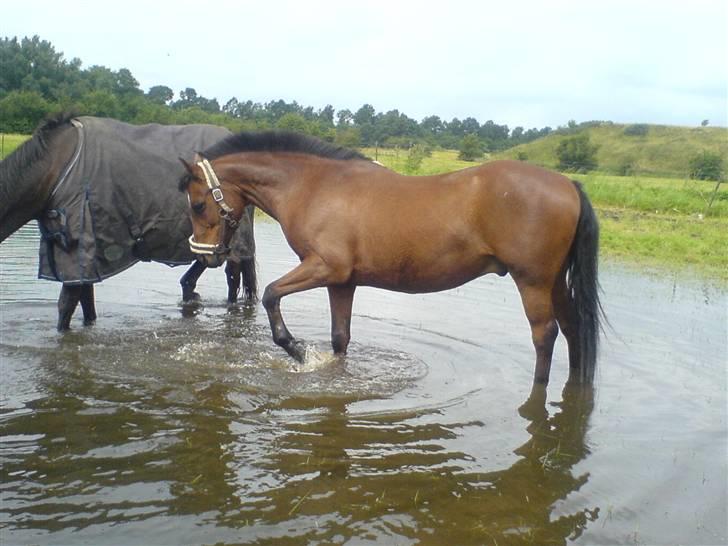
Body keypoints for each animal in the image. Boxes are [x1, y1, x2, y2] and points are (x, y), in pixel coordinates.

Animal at [0, 112, 256, 330]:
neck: (56, 170)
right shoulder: (85, 257)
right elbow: (86, 304)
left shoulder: (79, 251)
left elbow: (66, 307)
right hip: (209, 245)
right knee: (193, 279)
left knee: (232, 278)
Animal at [181, 131, 604, 382]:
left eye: (199, 204)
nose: (206, 255)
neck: (315, 187)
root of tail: (568, 184)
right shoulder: (342, 281)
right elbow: (340, 338)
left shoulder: (323, 267)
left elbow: (270, 294)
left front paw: (297, 350)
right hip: (555, 283)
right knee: (573, 330)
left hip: (533, 281)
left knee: (545, 335)